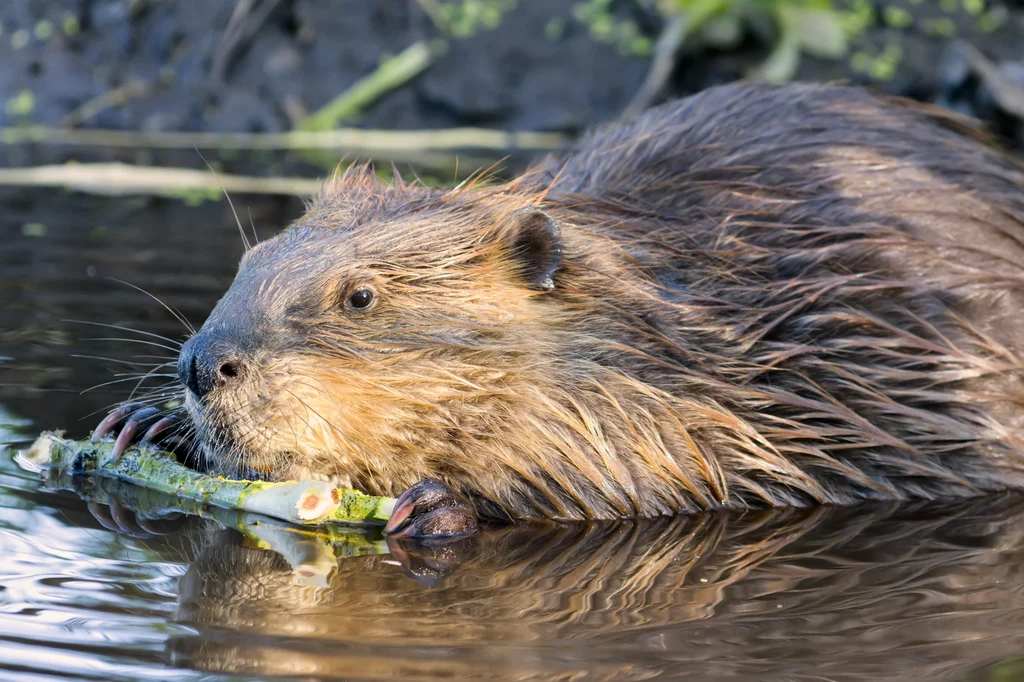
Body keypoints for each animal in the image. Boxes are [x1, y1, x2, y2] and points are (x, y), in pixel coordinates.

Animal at [96, 80, 1024, 536]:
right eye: (249, 263)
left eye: (359, 296)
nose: (203, 364)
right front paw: (144, 427)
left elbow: (657, 472)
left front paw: (441, 507)